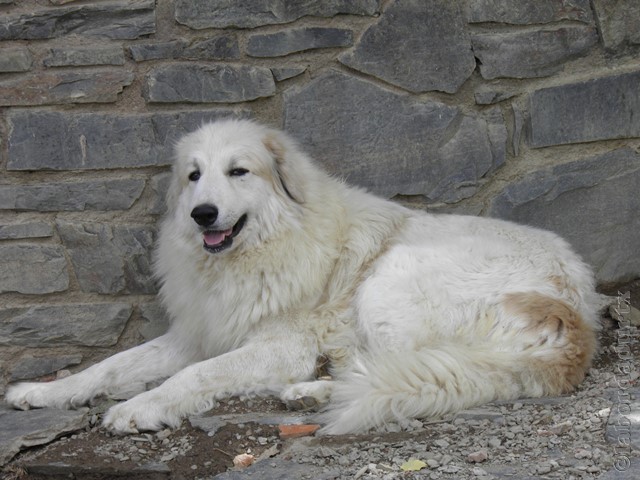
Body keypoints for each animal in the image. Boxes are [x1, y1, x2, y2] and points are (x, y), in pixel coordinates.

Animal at [6, 120, 600, 436]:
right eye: (194, 175)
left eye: (238, 171)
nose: (201, 214)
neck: (263, 246)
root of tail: (574, 319)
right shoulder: (196, 333)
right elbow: (107, 366)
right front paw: (43, 391)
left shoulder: (277, 346)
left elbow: (194, 377)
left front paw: (140, 407)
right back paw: (309, 394)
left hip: (390, 278)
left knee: (395, 368)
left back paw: (311, 391)